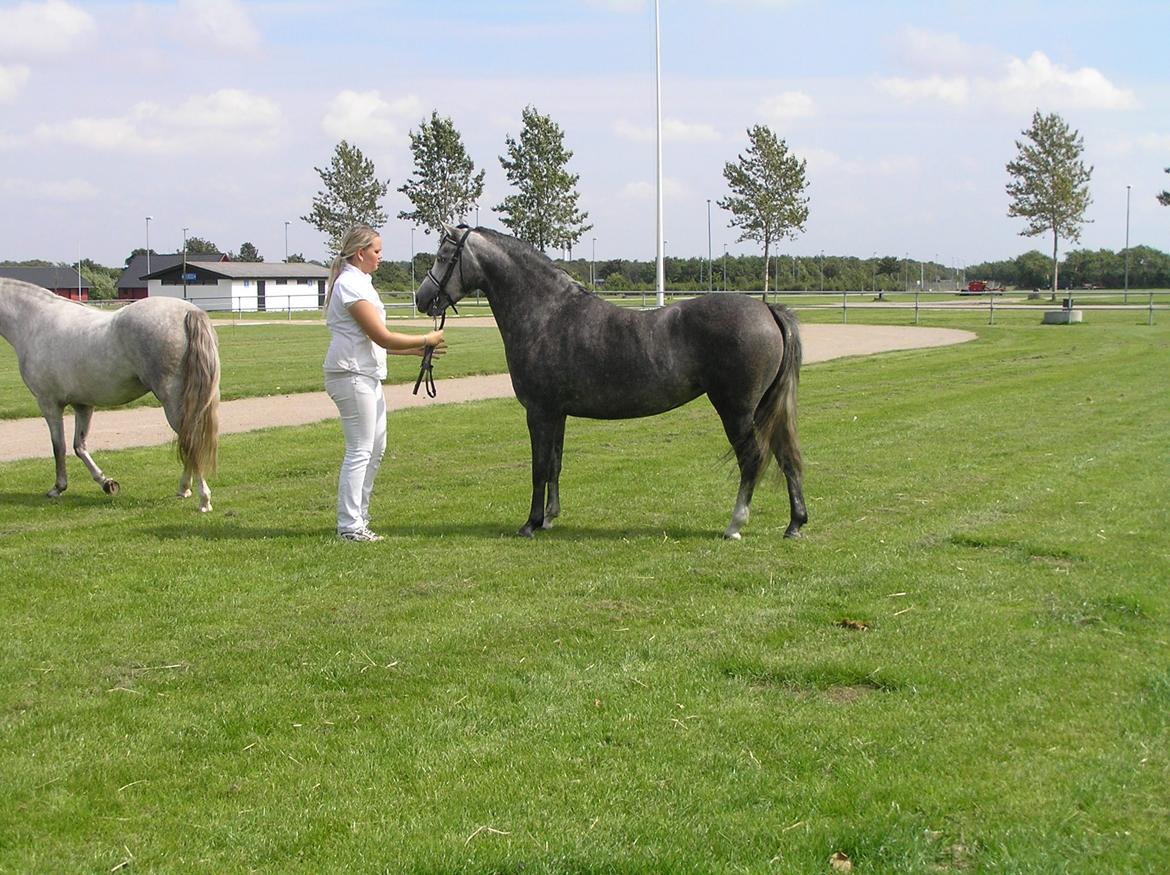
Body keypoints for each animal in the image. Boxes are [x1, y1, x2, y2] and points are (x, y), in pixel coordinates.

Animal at [0, 279, 220, 511]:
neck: (35, 321)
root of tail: (188, 312)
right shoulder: (83, 404)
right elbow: (79, 446)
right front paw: (106, 483)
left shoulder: (48, 403)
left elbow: (58, 446)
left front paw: (58, 487)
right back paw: (184, 488)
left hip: (173, 402)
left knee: (190, 440)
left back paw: (203, 499)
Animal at [415, 224, 806, 540]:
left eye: (444, 255)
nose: (421, 299)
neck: (547, 314)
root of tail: (767, 309)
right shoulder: (557, 414)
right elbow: (555, 463)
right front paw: (550, 518)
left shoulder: (539, 412)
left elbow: (539, 467)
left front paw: (531, 523)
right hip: (763, 408)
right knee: (785, 454)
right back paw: (794, 524)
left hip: (736, 410)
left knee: (752, 459)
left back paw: (735, 524)